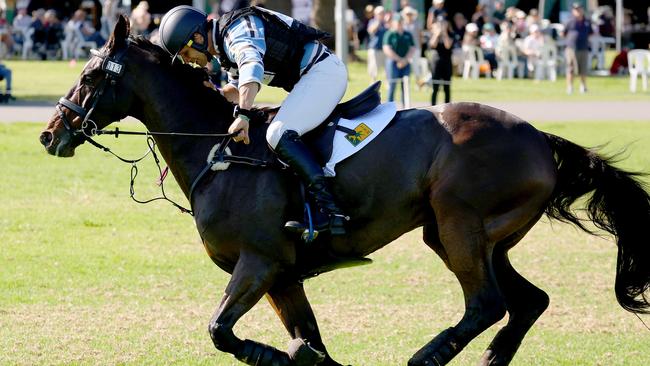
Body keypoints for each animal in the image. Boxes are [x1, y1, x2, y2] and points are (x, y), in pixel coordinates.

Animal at [41, 16, 648, 366]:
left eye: (92, 76)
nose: (51, 134)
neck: (217, 150)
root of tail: (539, 137)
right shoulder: (282, 277)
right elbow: (308, 338)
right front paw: (303, 357)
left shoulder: (258, 263)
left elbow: (219, 330)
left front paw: (279, 356)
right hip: (476, 237)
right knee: (527, 302)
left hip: (459, 226)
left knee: (486, 304)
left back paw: (426, 357)